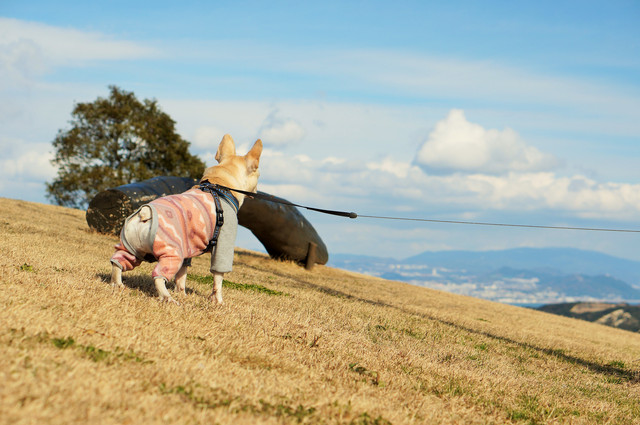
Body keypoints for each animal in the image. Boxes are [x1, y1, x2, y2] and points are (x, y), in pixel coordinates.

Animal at [110, 134, 262, 305]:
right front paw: (218, 302)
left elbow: (182, 274)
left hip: (131, 248)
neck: (220, 185)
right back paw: (168, 299)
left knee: (118, 262)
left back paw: (118, 284)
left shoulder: (188, 246)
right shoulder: (223, 244)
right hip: (171, 254)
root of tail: (145, 213)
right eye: (258, 174)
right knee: (159, 277)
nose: (257, 191)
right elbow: (218, 278)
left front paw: (182, 293)